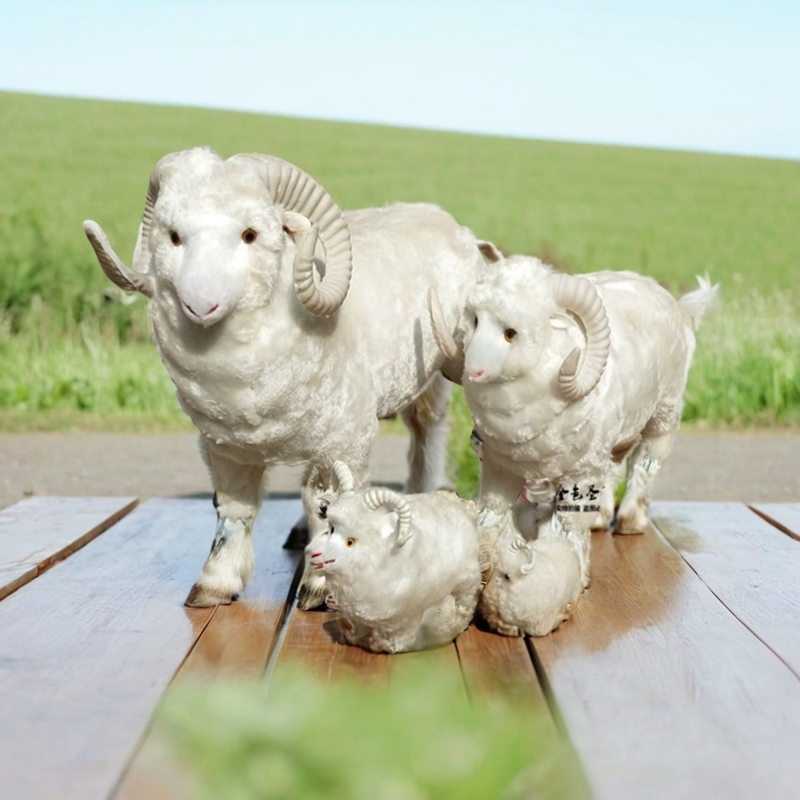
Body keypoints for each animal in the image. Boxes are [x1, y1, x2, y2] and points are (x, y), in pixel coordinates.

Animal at [83, 147, 489, 609]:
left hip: (435, 374)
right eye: (173, 236)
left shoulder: (345, 437)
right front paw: (215, 583)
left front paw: (320, 586)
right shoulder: (224, 445)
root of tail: (446, 220)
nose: (200, 304)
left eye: (250, 235)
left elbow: (330, 505)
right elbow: (234, 509)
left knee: (426, 436)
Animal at [305, 461, 482, 653]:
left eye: (350, 542)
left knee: (463, 606)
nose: (316, 555)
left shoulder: (407, 618)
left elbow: (401, 638)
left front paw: (390, 646)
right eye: (331, 529)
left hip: (465, 586)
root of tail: (466, 508)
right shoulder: (357, 614)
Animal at [431, 255, 718, 634]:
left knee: (645, 463)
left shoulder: (580, 472)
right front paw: (480, 567)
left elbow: (569, 527)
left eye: (511, 333)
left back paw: (630, 519)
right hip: (610, 440)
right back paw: (604, 516)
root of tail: (679, 306)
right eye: (475, 320)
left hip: (664, 412)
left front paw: (574, 579)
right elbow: (490, 516)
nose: (473, 372)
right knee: (615, 466)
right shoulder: (499, 465)